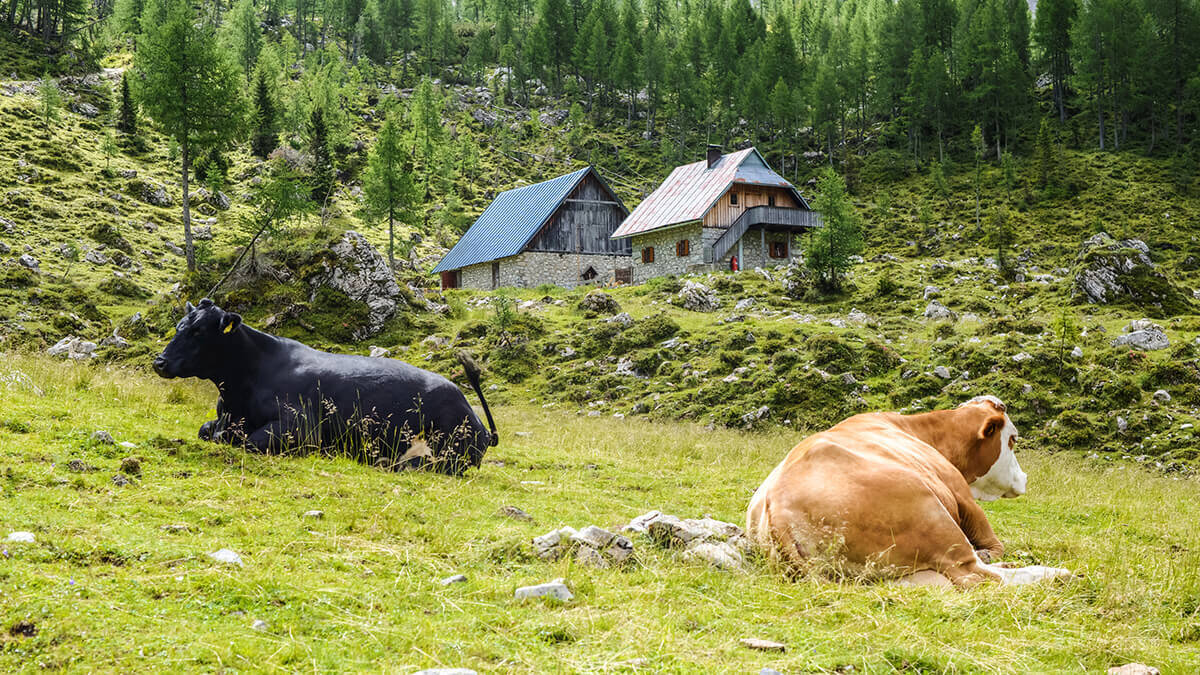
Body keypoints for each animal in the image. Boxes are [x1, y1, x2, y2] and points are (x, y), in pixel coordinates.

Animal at [151, 296, 496, 475]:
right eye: (179, 326)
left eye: (199, 331)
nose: (160, 362)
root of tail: (478, 421)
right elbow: (207, 431)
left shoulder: (301, 427)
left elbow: (247, 441)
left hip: (444, 450)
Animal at [748, 393, 1070, 583]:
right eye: (1013, 439)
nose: (1024, 478)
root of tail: (777, 507)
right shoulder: (962, 496)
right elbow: (993, 543)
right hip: (930, 513)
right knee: (974, 573)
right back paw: (1056, 574)